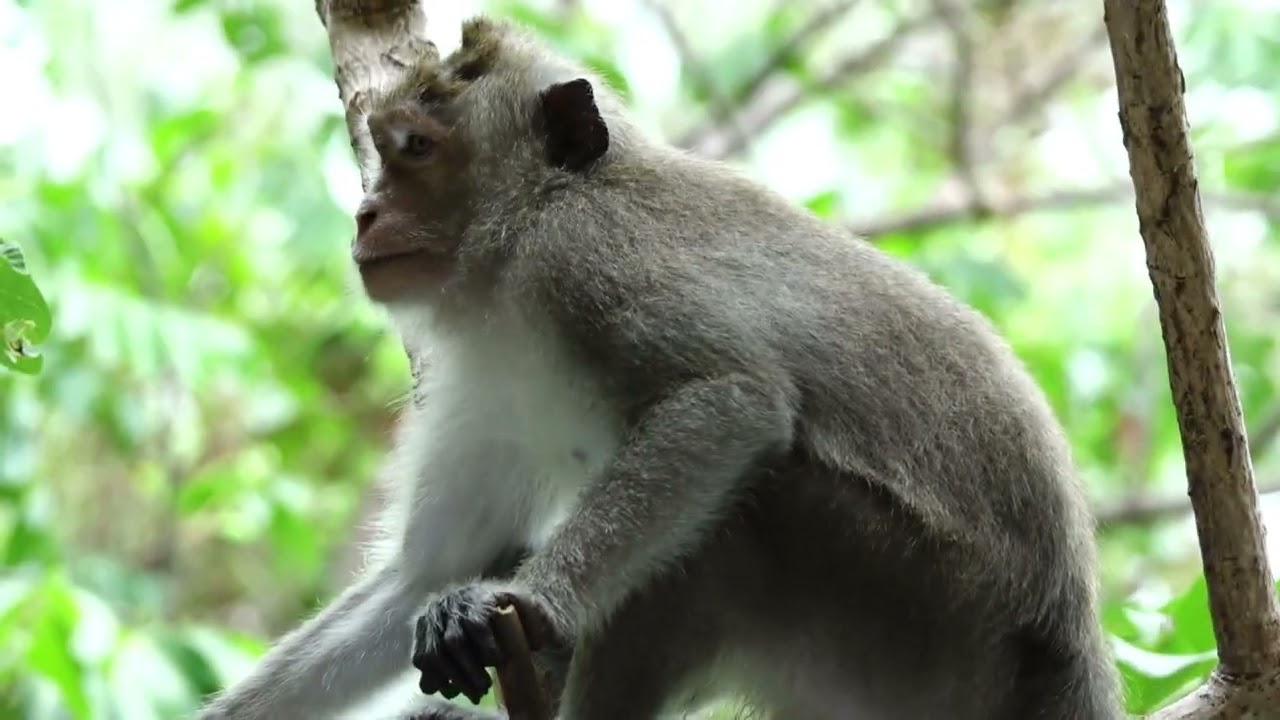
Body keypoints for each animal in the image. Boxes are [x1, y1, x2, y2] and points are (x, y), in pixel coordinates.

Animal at [196, 15, 1122, 720]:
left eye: (418, 149)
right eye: (383, 152)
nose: (365, 211)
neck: (516, 241)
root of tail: (1069, 633)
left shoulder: (585, 257)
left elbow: (729, 402)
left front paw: (525, 605)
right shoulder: (475, 368)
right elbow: (432, 572)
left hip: (924, 614)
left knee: (738, 520)